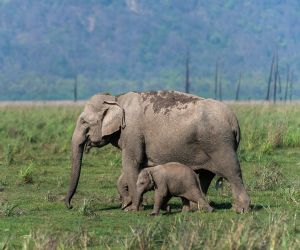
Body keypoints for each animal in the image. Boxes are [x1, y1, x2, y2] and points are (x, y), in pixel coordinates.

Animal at [65, 91, 251, 212]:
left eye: (83, 122)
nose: (70, 205)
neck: (116, 98)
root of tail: (234, 121)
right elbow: (135, 167)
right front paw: (126, 204)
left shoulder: (132, 132)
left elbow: (130, 163)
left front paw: (133, 208)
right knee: (206, 175)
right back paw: (194, 208)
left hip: (219, 144)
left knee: (233, 173)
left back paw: (240, 209)